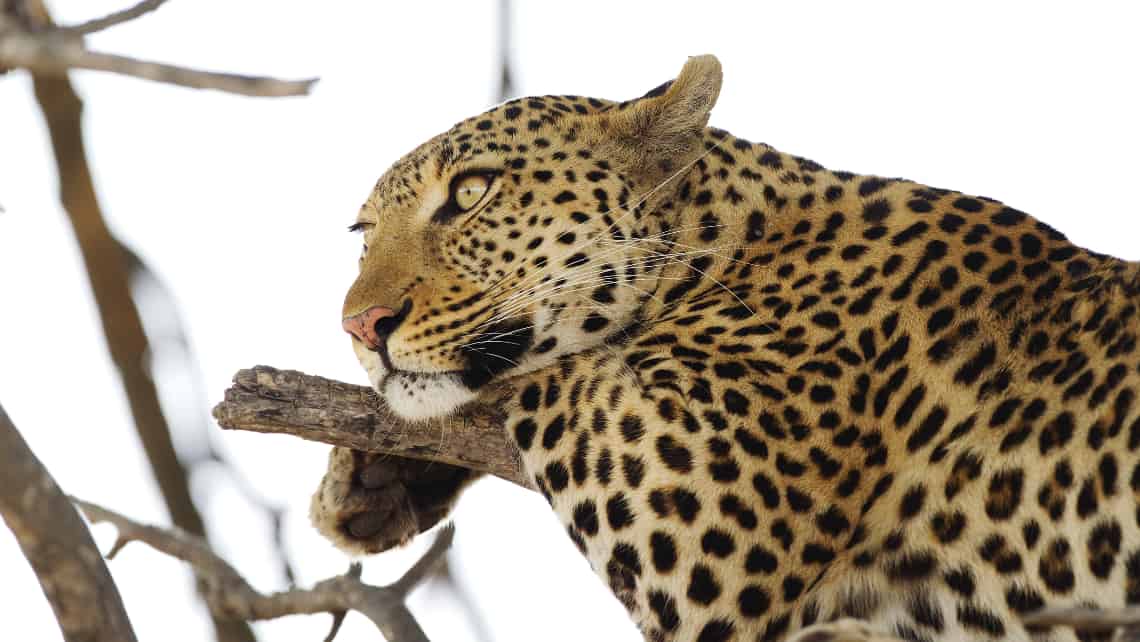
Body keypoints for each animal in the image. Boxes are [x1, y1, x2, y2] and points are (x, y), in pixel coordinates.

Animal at [307, 56, 1140, 642]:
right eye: (363, 235)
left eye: (471, 193)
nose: (361, 325)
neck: (735, 243)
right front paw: (371, 479)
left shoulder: (710, 503)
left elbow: (543, 372)